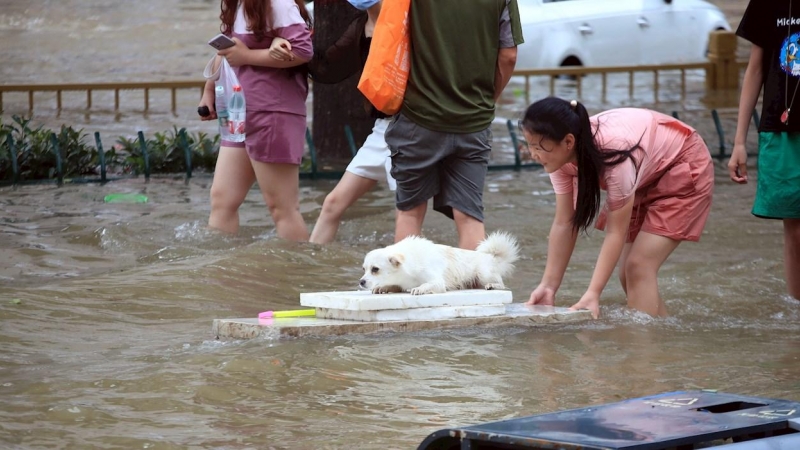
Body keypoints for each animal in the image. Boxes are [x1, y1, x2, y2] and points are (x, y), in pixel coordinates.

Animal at [356, 232, 520, 296]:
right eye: (364, 269)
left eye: (375, 269)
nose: (361, 282)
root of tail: (490, 257)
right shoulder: (401, 283)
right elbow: (393, 286)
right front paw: (382, 287)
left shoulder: (438, 282)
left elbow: (426, 285)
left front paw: (419, 289)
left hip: (483, 273)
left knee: (502, 284)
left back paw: (493, 285)